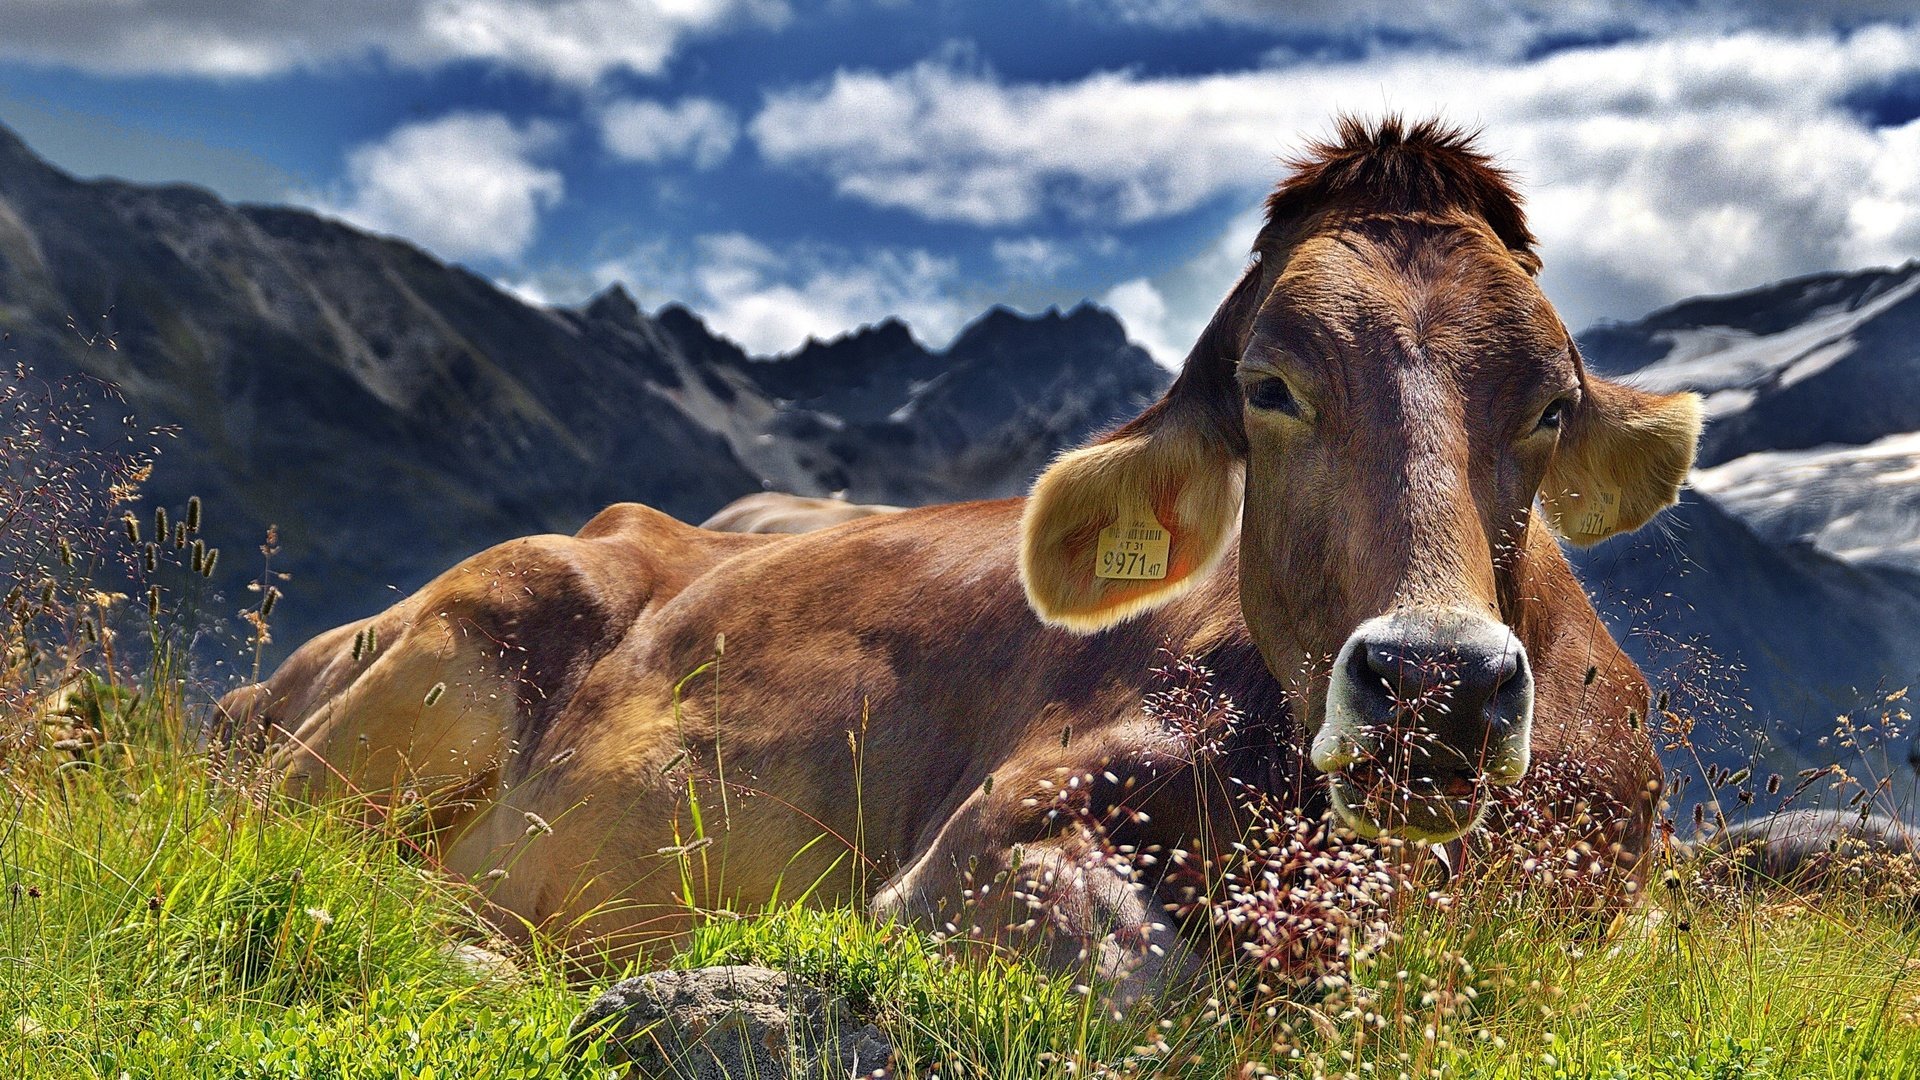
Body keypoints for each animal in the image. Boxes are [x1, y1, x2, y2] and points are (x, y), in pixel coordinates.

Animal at [217, 119, 1704, 991]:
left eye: (1551, 400)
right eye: (1271, 385)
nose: (1435, 684)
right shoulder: (979, 846)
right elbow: (1150, 979)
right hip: (456, 644)